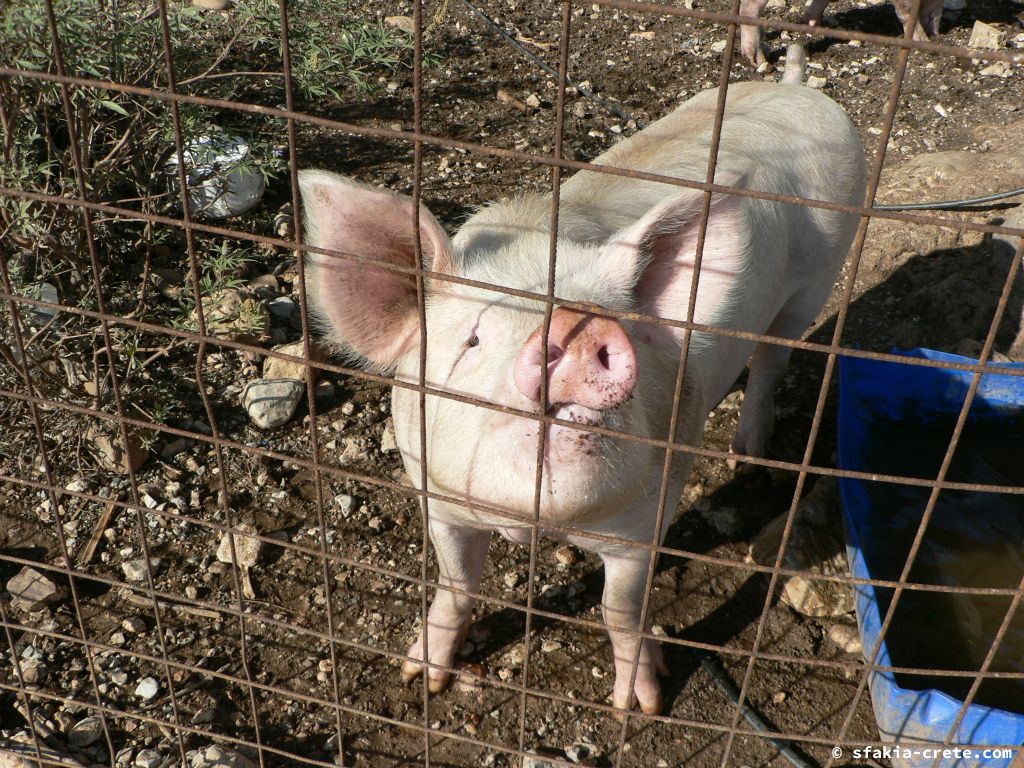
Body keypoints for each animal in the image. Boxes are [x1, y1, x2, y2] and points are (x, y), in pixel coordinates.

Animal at [299, 79, 868, 716]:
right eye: (473, 339)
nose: (578, 327)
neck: (535, 523)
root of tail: (794, 89)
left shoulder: (648, 514)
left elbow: (620, 609)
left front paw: (640, 705)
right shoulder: (437, 495)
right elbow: (455, 581)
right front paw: (421, 676)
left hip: (820, 274)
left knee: (774, 358)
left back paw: (746, 458)